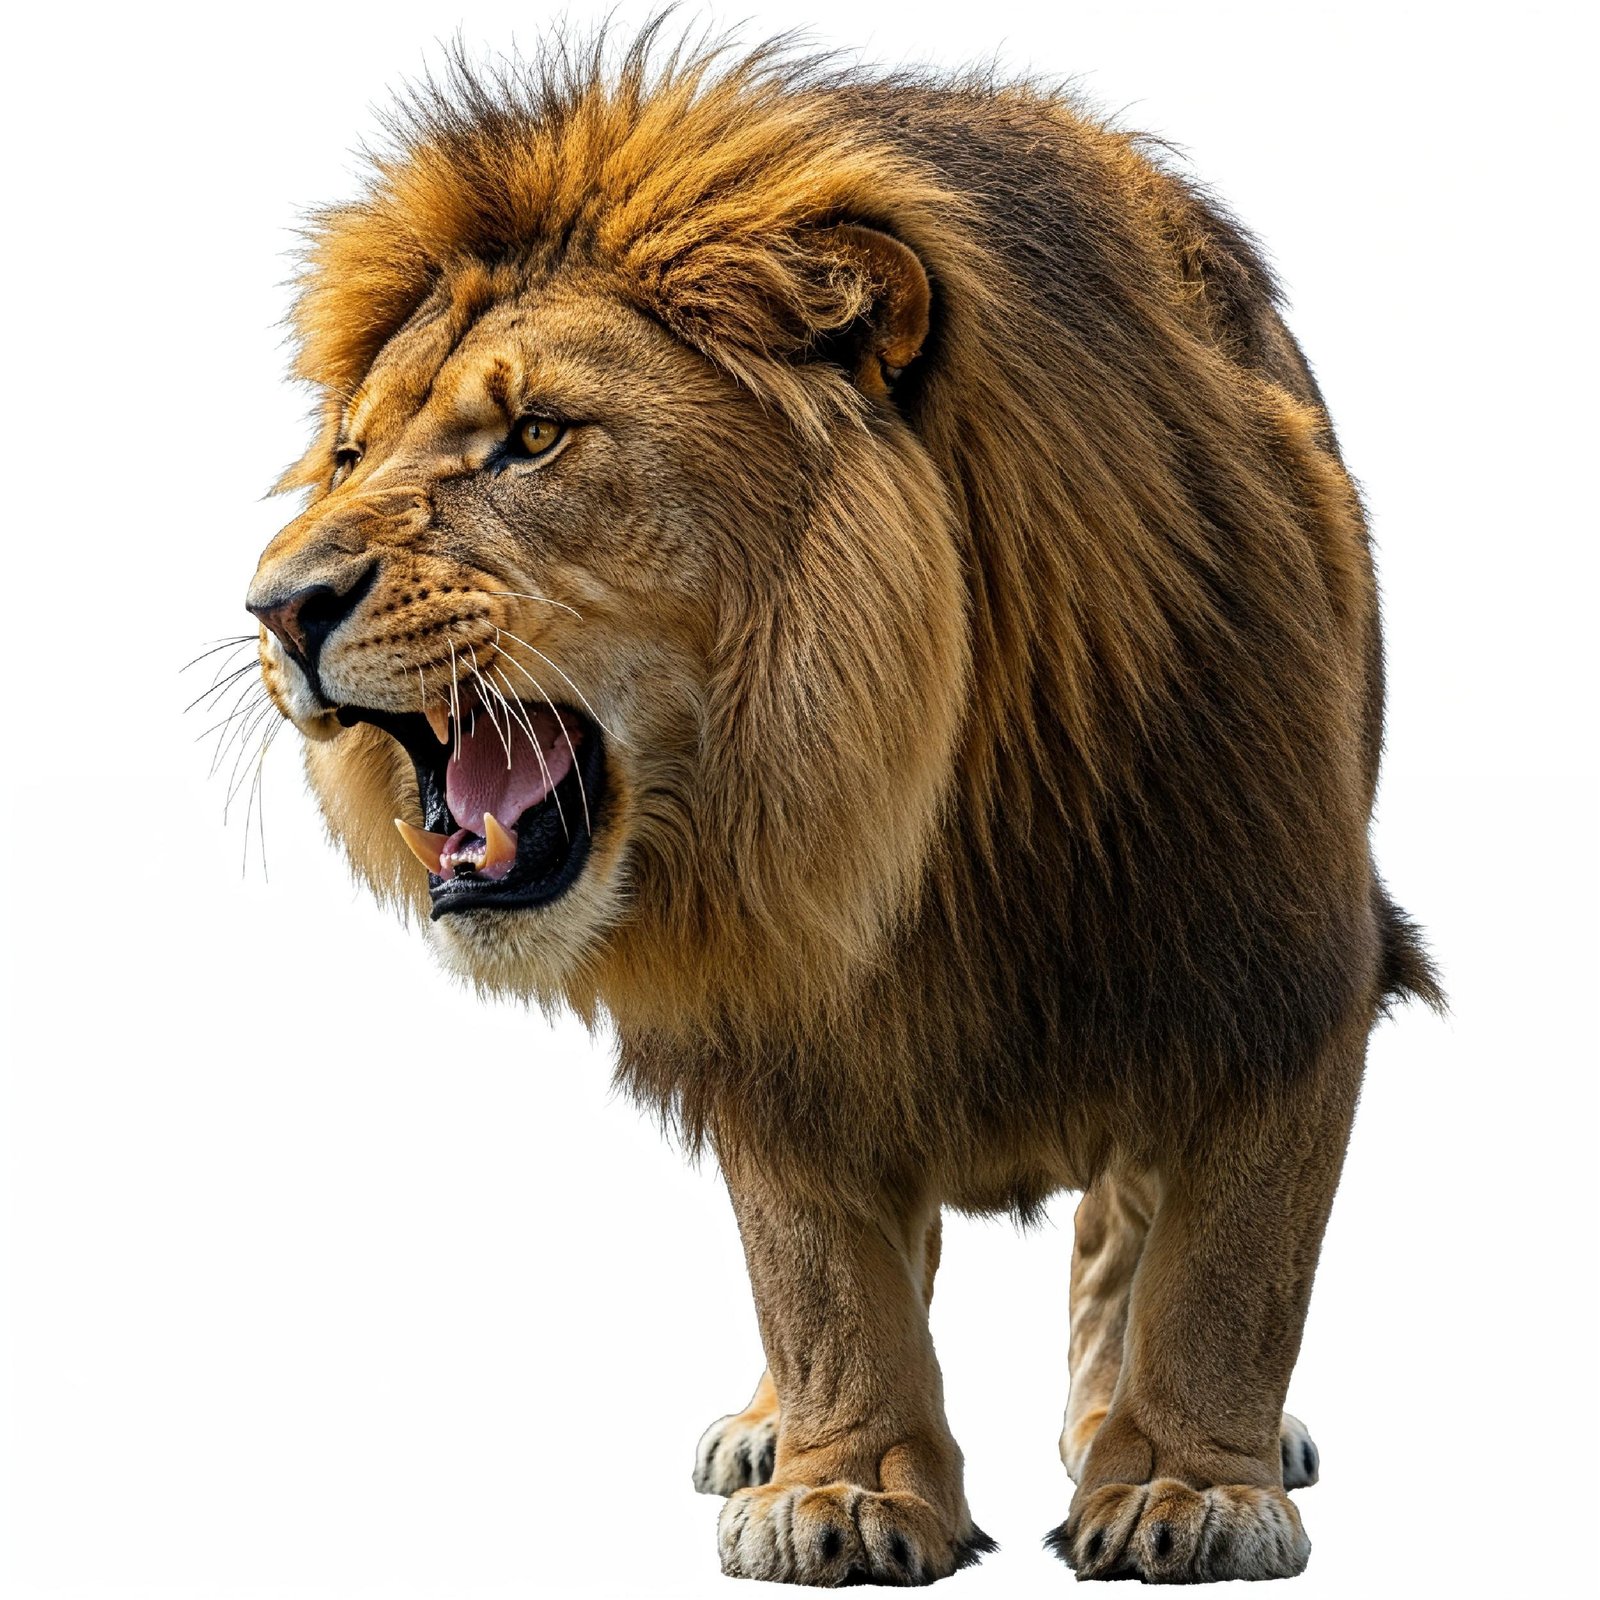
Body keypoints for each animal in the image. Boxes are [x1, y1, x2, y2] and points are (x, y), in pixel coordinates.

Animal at [243, 27, 1439, 1586]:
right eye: (344, 456)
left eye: (536, 436)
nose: (276, 606)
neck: (912, 810)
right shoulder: (768, 1000)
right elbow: (815, 1271)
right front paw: (849, 1485)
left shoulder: (1284, 954)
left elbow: (1232, 1264)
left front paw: (1190, 1485)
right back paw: (774, 1426)